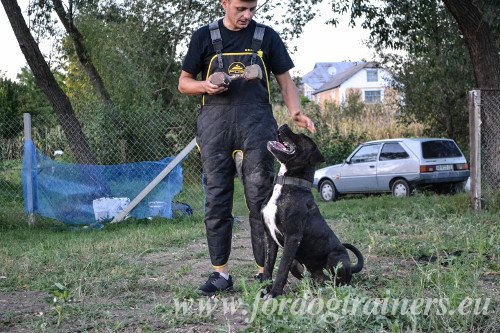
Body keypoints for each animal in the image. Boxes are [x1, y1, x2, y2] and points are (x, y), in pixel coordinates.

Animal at [262, 124, 364, 296]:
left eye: (302, 137)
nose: (284, 125)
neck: (289, 182)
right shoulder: (270, 238)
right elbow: (268, 267)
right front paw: (264, 290)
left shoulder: (292, 237)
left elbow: (281, 269)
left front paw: (274, 293)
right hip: (296, 264)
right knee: (311, 279)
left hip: (337, 258)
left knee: (340, 281)